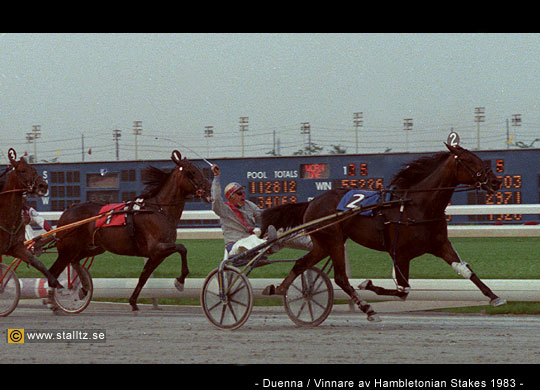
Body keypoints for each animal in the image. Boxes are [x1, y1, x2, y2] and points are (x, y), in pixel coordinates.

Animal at [0, 149, 61, 290]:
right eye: (23, 170)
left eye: (34, 169)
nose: (43, 185)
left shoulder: (16, 247)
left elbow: (36, 262)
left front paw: (56, 283)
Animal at [48, 151, 212, 312]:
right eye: (191, 171)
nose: (210, 189)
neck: (159, 210)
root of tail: (68, 210)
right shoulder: (157, 247)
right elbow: (182, 248)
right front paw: (180, 282)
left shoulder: (157, 254)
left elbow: (144, 276)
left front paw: (133, 301)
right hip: (68, 248)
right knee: (54, 271)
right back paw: (54, 301)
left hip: (93, 247)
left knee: (75, 260)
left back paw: (83, 288)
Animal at [262, 145, 506, 322]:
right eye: (469, 160)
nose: (496, 181)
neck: (417, 205)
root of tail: (312, 202)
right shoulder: (400, 252)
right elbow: (402, 290)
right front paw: (367, 285)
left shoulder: (440, 245)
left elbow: (466, 271)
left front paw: (495, 297)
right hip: (333, 241)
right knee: (340, 277)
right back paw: (367, 309)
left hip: (324, 244)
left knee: (301, 264)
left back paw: (281, 289)